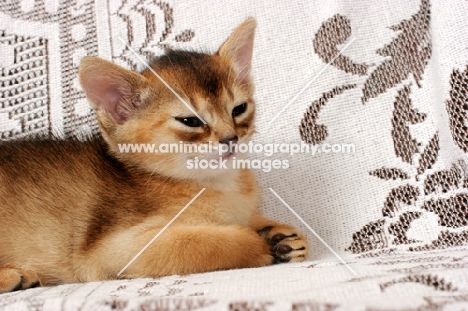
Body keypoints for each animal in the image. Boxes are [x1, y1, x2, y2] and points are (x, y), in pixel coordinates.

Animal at [0, 18, 308, 292]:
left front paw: (280, 234)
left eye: (239, 109)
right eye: (191, 121)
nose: (231, 138)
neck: (222, 185)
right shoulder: (110, 251)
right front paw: (261, 243)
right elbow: (203, 243)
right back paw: (15, 277)